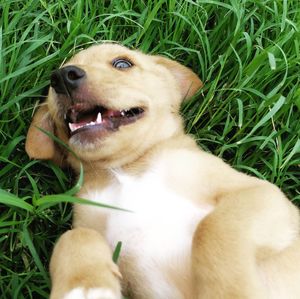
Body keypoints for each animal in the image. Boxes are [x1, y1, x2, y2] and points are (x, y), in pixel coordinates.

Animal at [25, 42, 300, 299]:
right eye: (53, 81)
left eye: (122, 63)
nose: (62, 76)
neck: (124, 171)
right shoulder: (93, 223)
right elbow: (73, 237)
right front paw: (86, 288)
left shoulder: (261, 194)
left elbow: (213, 227)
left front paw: (228, 292)